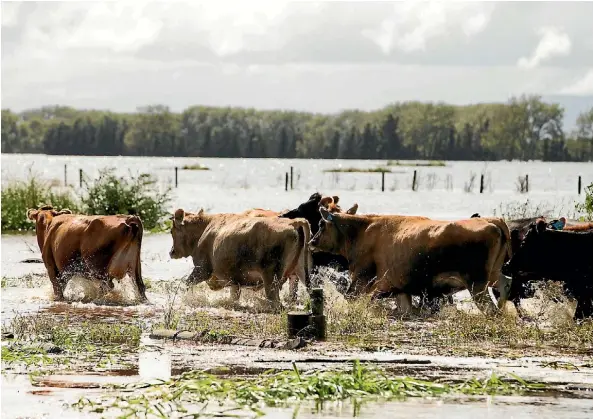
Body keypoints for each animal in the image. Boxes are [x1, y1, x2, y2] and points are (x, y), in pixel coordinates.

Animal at [168, 209, 310, 312]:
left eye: (172, 231)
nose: (171, 252)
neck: (206, 226)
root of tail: (293, 222)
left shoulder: (202, 269)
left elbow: (188, 283)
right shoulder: (234, 280)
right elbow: (234, 295)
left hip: (271, 276)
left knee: (275, 302)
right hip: (302, 271)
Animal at [308, 208, 512, 316]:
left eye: (321, 225)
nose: (311, 242)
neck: (362, 231)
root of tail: (492, 221)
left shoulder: (363, 278)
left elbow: (354, 297)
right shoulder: (399, 288)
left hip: (477, 284)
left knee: (491, 308)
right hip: (493, 275)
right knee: (506, 284)